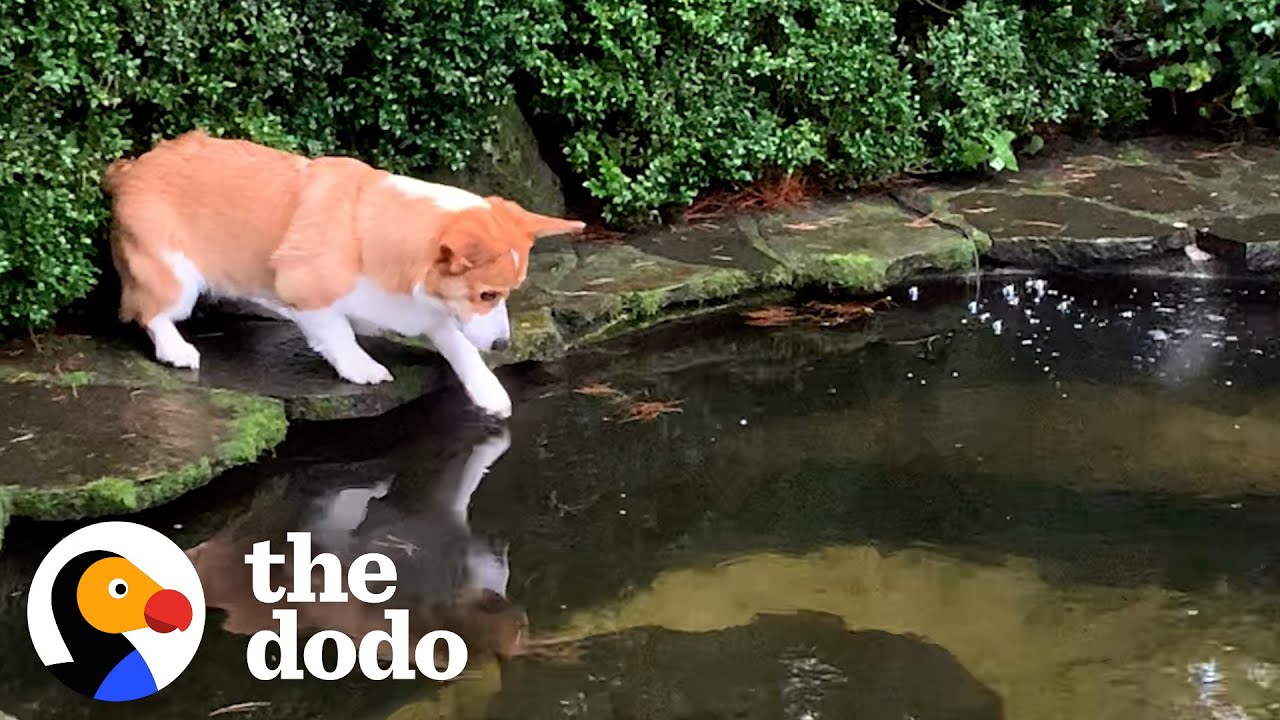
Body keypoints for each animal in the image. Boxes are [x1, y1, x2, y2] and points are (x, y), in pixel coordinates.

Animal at [104, 130, 586, 415]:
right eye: (487, 295)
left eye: (507, 293)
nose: (504, 344)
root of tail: (130, 169)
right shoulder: (306, 294)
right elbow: (338, 334)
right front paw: (361, 367)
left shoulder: (429, 310)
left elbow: (460, 346)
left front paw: (489, 391)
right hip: (175, 277)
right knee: (151, 313)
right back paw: (177, 349)